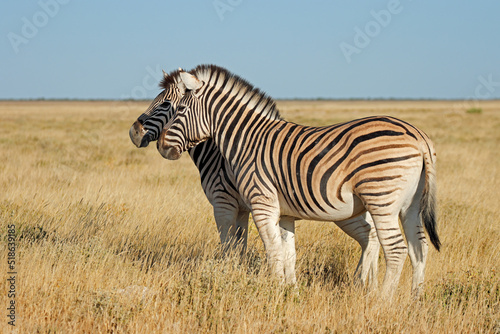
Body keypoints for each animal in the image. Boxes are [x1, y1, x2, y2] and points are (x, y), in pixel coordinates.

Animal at [129, 68, 378, 288]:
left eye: (165, 104)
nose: (134, 132)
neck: (219, 152)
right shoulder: (242, 209)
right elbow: (240, 246)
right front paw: (238, 274)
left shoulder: (223, 203)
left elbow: (228, 246)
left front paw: (226, 277)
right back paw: (369, 286)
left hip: (345, 210)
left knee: (371, 237)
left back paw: (363, 284)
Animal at [158, 65, 440, 298]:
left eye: (179, 109)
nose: (161, 147)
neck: (247, 140)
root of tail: (419, 136)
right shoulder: (285, 214)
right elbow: (287, 254)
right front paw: (288, 291)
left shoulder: (260, 205)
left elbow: (272, 251)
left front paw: (272, 292)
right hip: (411, 205)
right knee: (419, 247)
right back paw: (415, 299)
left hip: (382, 199)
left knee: (396, 249)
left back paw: (382, 300)